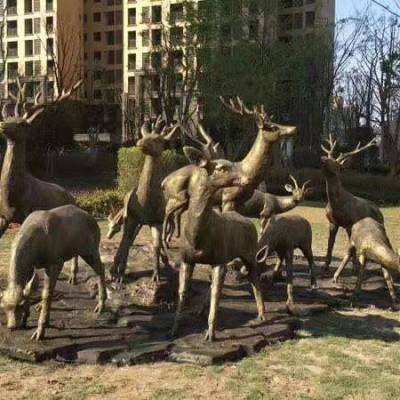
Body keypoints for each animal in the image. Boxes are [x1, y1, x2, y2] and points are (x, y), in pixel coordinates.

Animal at [0, 77, 81, 284]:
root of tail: (73, 197)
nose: (3, 125)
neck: (12, 197)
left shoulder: (27, 213)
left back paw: (73, 276)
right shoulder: (4, 217)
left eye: (22, 123)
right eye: (8, 117)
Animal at [320, 135, 382, 276]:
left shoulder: (350, 222)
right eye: (328, 156)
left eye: (336, 163)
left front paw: (354, 268)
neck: (335, 204)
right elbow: (330, 243)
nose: (323, 158)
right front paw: (325, 265)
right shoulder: (333, 222)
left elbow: (351, 246)